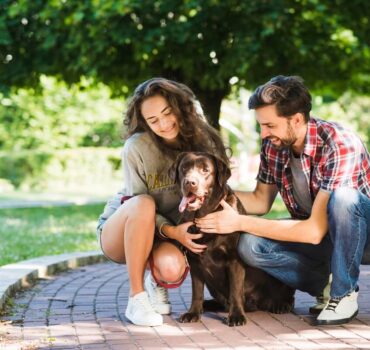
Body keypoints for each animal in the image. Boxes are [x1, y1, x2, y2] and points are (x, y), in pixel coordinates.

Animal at [171, 152, 294, 326]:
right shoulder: (194, 261)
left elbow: (235, 290)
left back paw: (280, 305)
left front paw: (236, 316)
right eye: (184, 168)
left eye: (205, 170)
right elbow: (197, 290)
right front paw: (193, 312)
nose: (190, 182)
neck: (205, 214)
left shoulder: (234, 259)